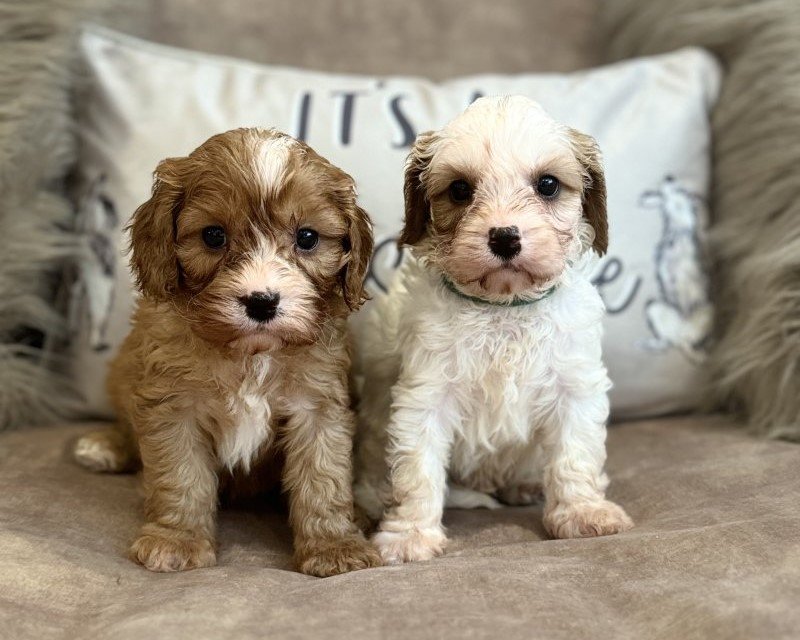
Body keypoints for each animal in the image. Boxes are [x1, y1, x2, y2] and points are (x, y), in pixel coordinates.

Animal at [75, 125, 382, 576]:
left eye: (307, 238)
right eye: (213, 236)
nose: (262, 302)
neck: (250, 355)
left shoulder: (318, 405)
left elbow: (323, 477)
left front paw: (334, 546)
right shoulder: (173, 406)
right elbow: (180, 476)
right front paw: (177, 539)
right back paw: (107, 446)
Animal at [354, 96, 632, 564]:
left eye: (548, 185)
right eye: (460, 190)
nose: (504, 237)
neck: (504, 308)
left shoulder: (574, 385)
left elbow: (575, 453)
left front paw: (582, 511)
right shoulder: (425, 395)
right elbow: (417, 469)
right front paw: (410, 535)